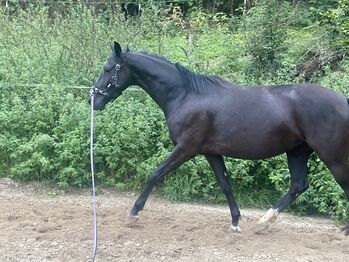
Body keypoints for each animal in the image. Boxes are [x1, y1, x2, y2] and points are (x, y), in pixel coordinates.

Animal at [88, 42, 348, 234]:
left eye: (108, 68)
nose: (93, 100)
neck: (185, 95)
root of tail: (343, 100)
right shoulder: (211, 152)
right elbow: (225, 184)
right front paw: (235, 222)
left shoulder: (186, 148)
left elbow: (155, 173)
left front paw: (134, 213)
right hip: (297, 151)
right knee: (298, 185)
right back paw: (264, 222)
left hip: (331, 156)